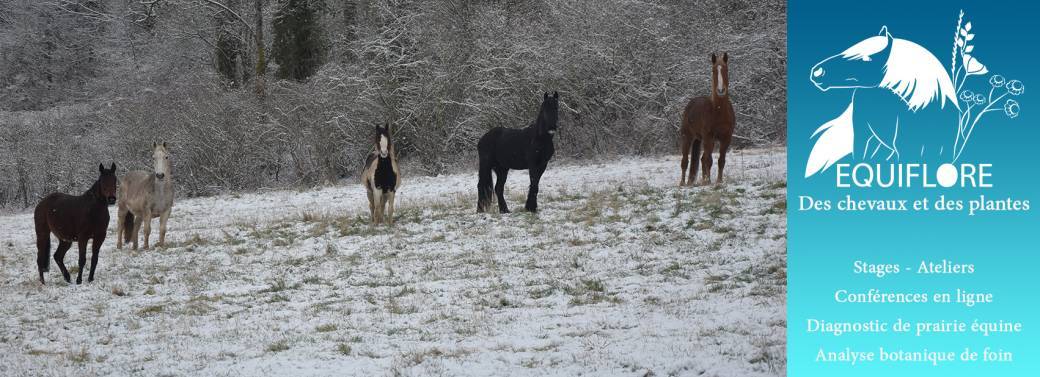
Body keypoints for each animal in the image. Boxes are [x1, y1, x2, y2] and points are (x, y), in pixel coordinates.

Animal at [678, 51, 736, 185]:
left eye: (725, 69)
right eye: (714, 70)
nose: (721, 90)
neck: (718, 110)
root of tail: (691, 103)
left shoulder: (726, 138)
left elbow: (721, 161)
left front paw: (719, 181)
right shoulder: (709, 136)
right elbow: (709, 160)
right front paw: (709, 181)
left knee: (702, 158)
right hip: (687, 137)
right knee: (685, 161)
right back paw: (683, 183)